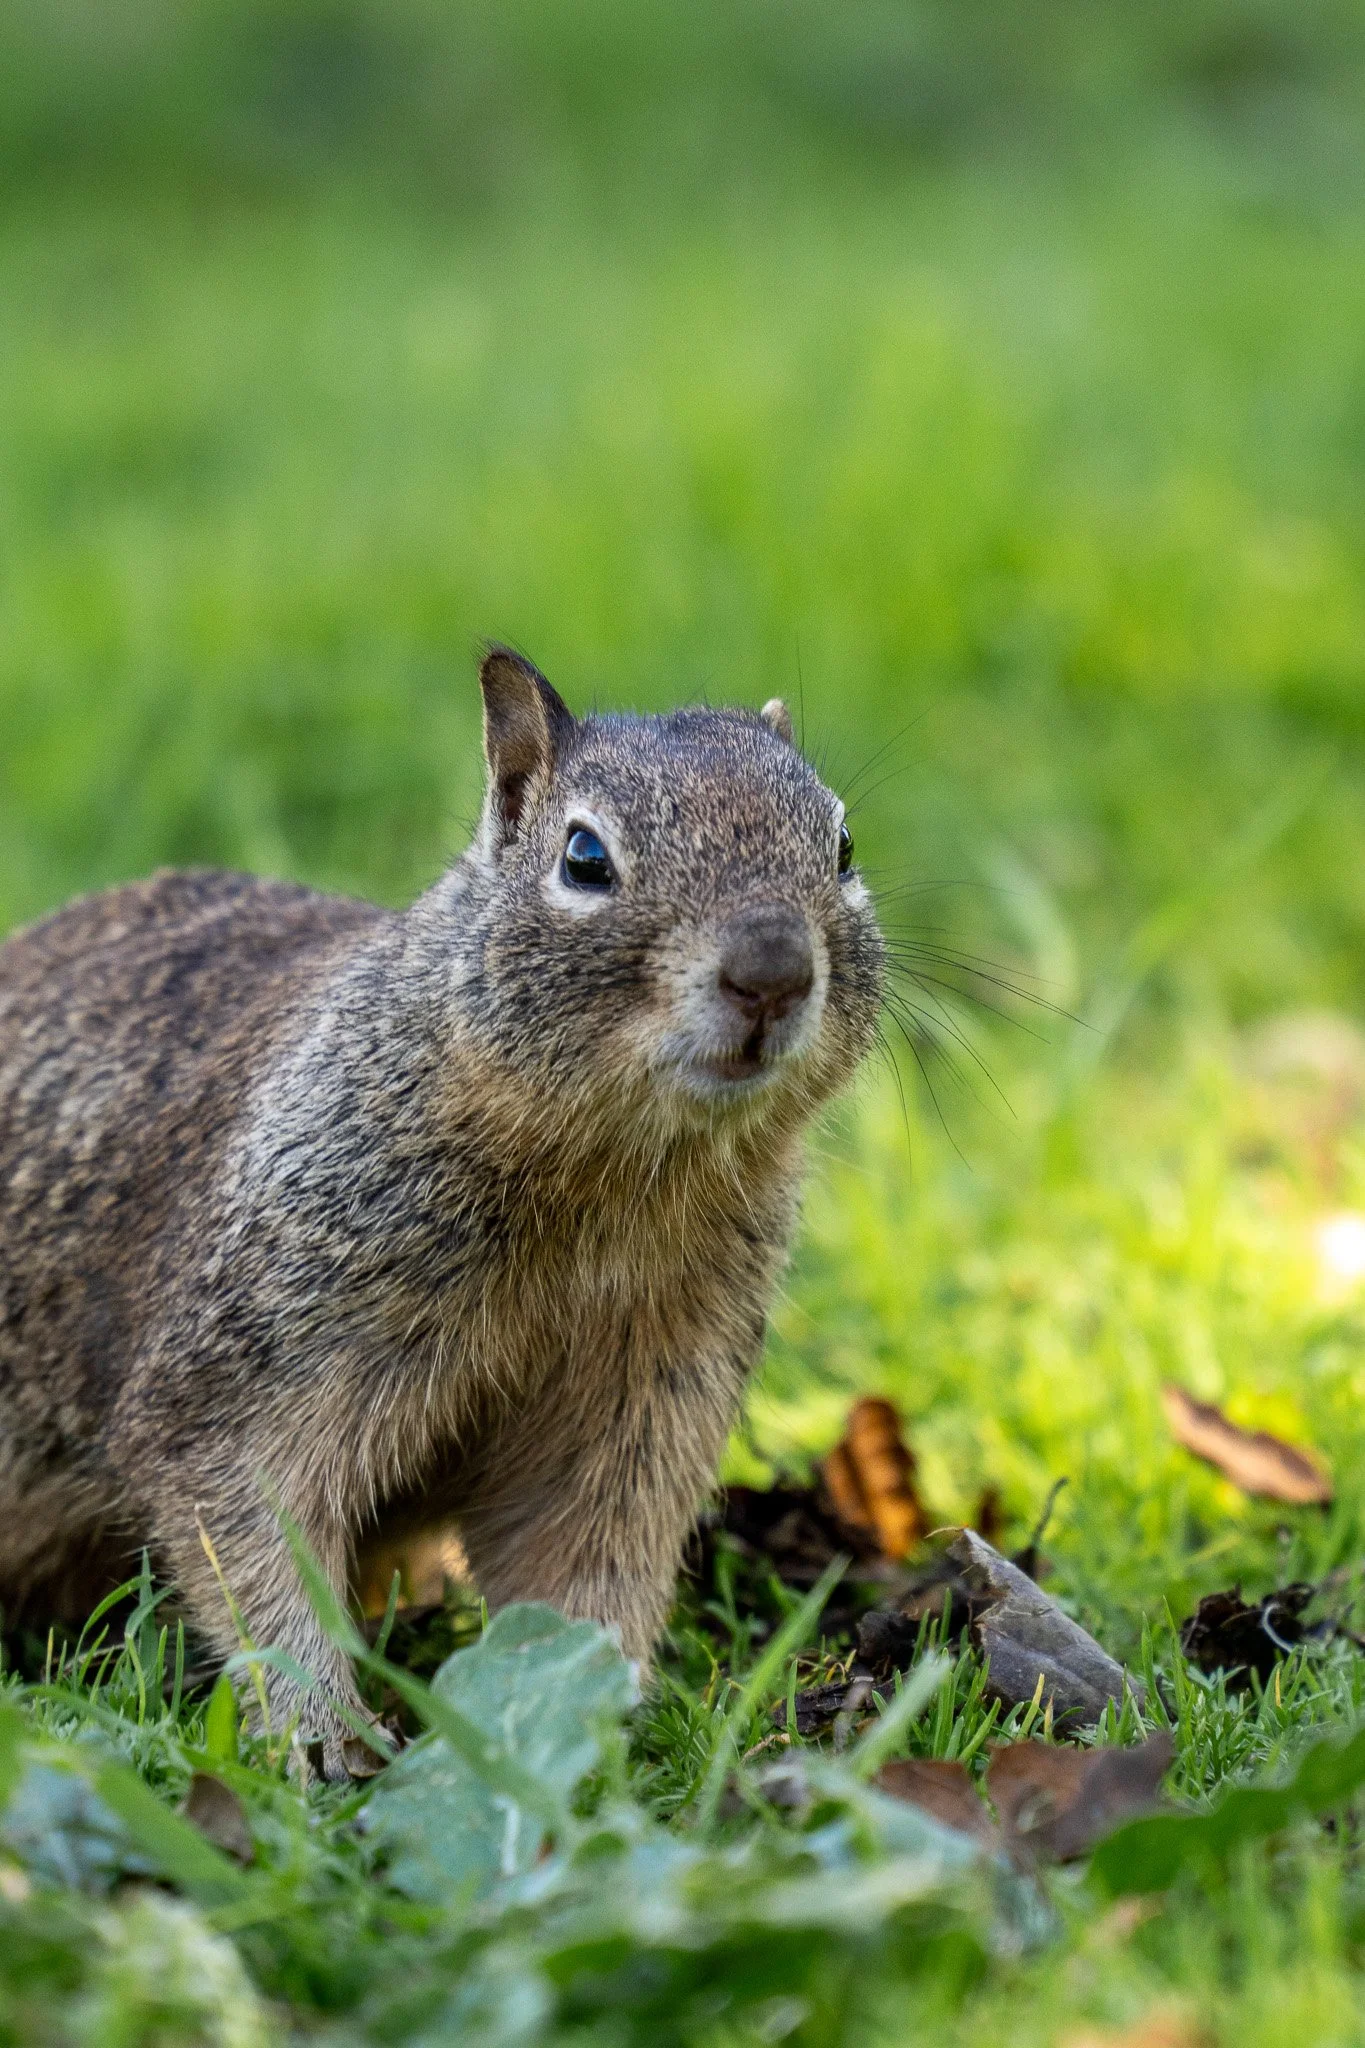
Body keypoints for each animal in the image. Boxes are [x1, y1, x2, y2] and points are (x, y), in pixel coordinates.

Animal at [0, 649, 884, 1775]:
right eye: (584, 856)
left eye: (843, 844)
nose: (771, 971)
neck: (615, 1178)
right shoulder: (253, 1351)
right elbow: (249, 1531)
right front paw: (323, 1731)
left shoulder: (647, 1392)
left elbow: (588, 1562)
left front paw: (599, 1712)